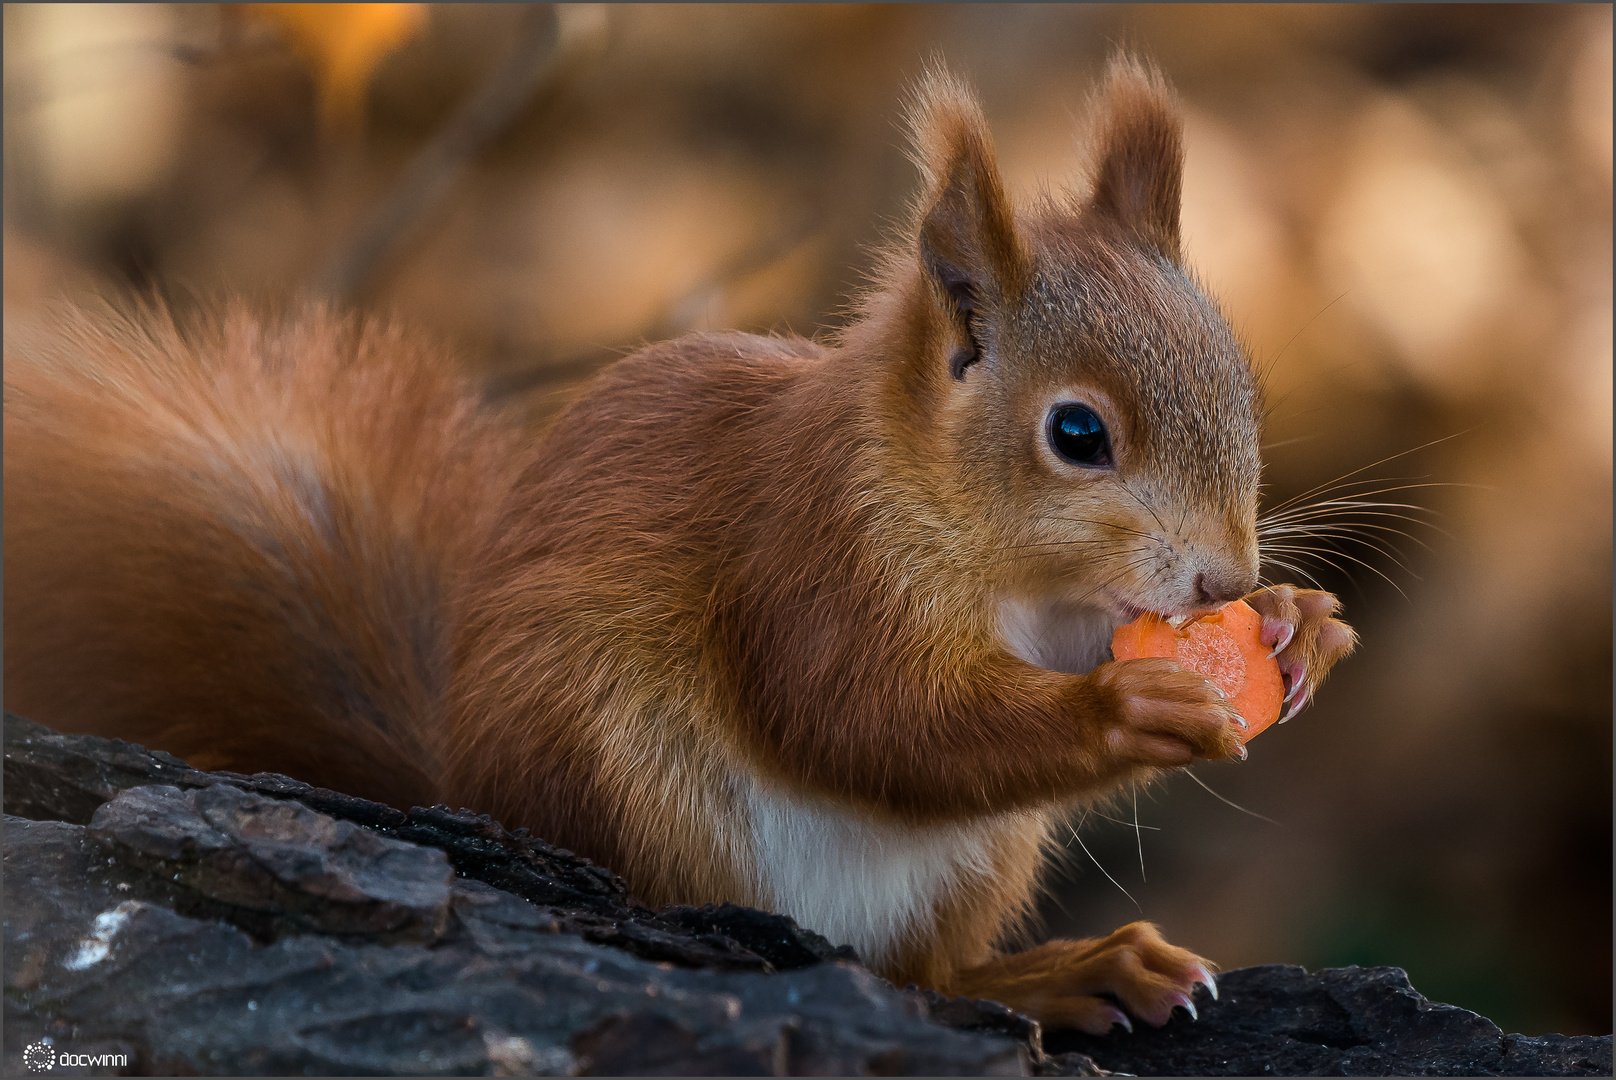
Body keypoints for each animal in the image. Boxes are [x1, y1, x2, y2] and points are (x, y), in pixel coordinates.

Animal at [6, 56, 1357, 1028]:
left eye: (1238, 383)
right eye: (1076, 434)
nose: (1225, 577)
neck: (1000, 560)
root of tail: (466, 780)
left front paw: (1301, 629)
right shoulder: (808, 552)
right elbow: (866, 716)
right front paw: (1128, 709)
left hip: (977, 860)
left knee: (923, 975)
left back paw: (1054, 976)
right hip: (626, 770)